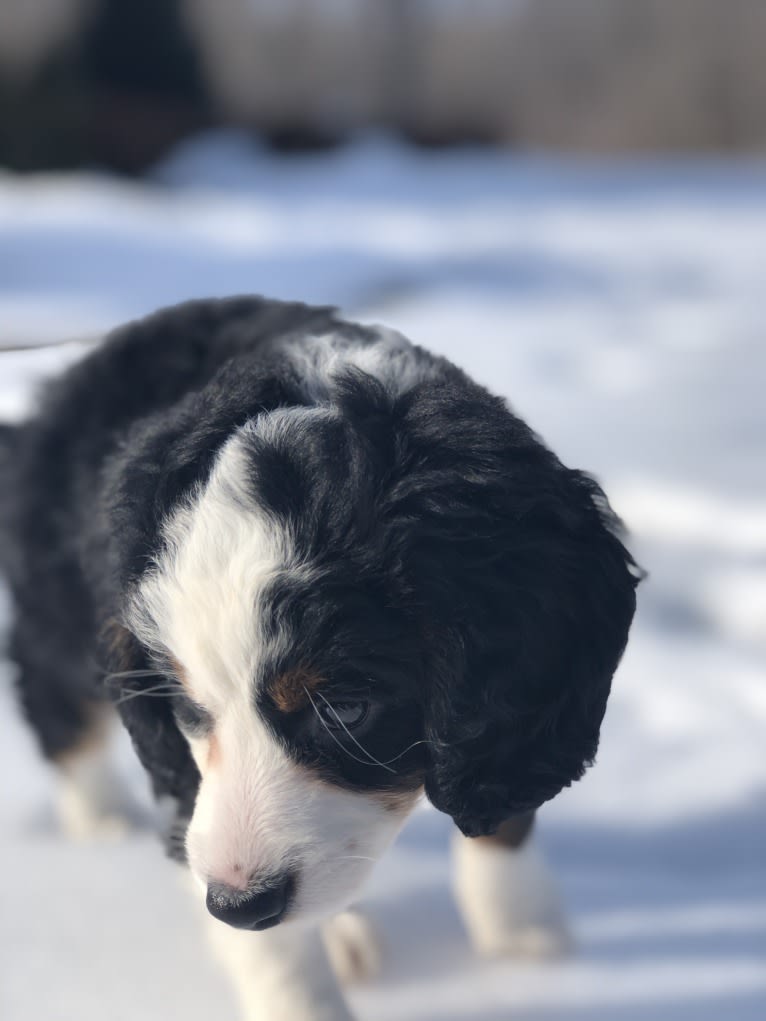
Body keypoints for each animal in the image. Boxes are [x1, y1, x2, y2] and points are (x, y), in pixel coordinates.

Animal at [0, 298, 641, 1021]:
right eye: (190, 709)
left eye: (346, 709)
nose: (238, 904)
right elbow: (274, 949)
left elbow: (501, 794)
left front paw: (524, 930)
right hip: (57, 611)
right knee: (54, 700)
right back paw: (100, 818)